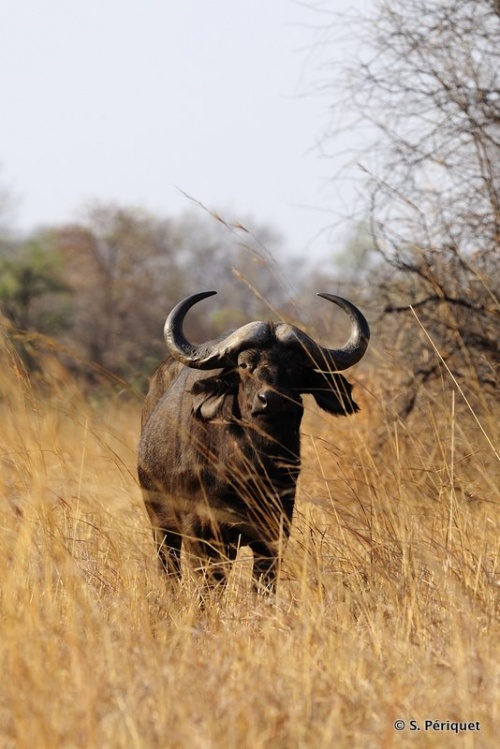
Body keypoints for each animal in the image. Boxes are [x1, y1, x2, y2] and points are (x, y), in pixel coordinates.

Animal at [139, 290, 370, 592]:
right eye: (244, 365)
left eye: (295, 367)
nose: (271, 400)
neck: (249, 463)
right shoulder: (200, 530)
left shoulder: (275, 531)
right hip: (161, 525)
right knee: (170, 571)